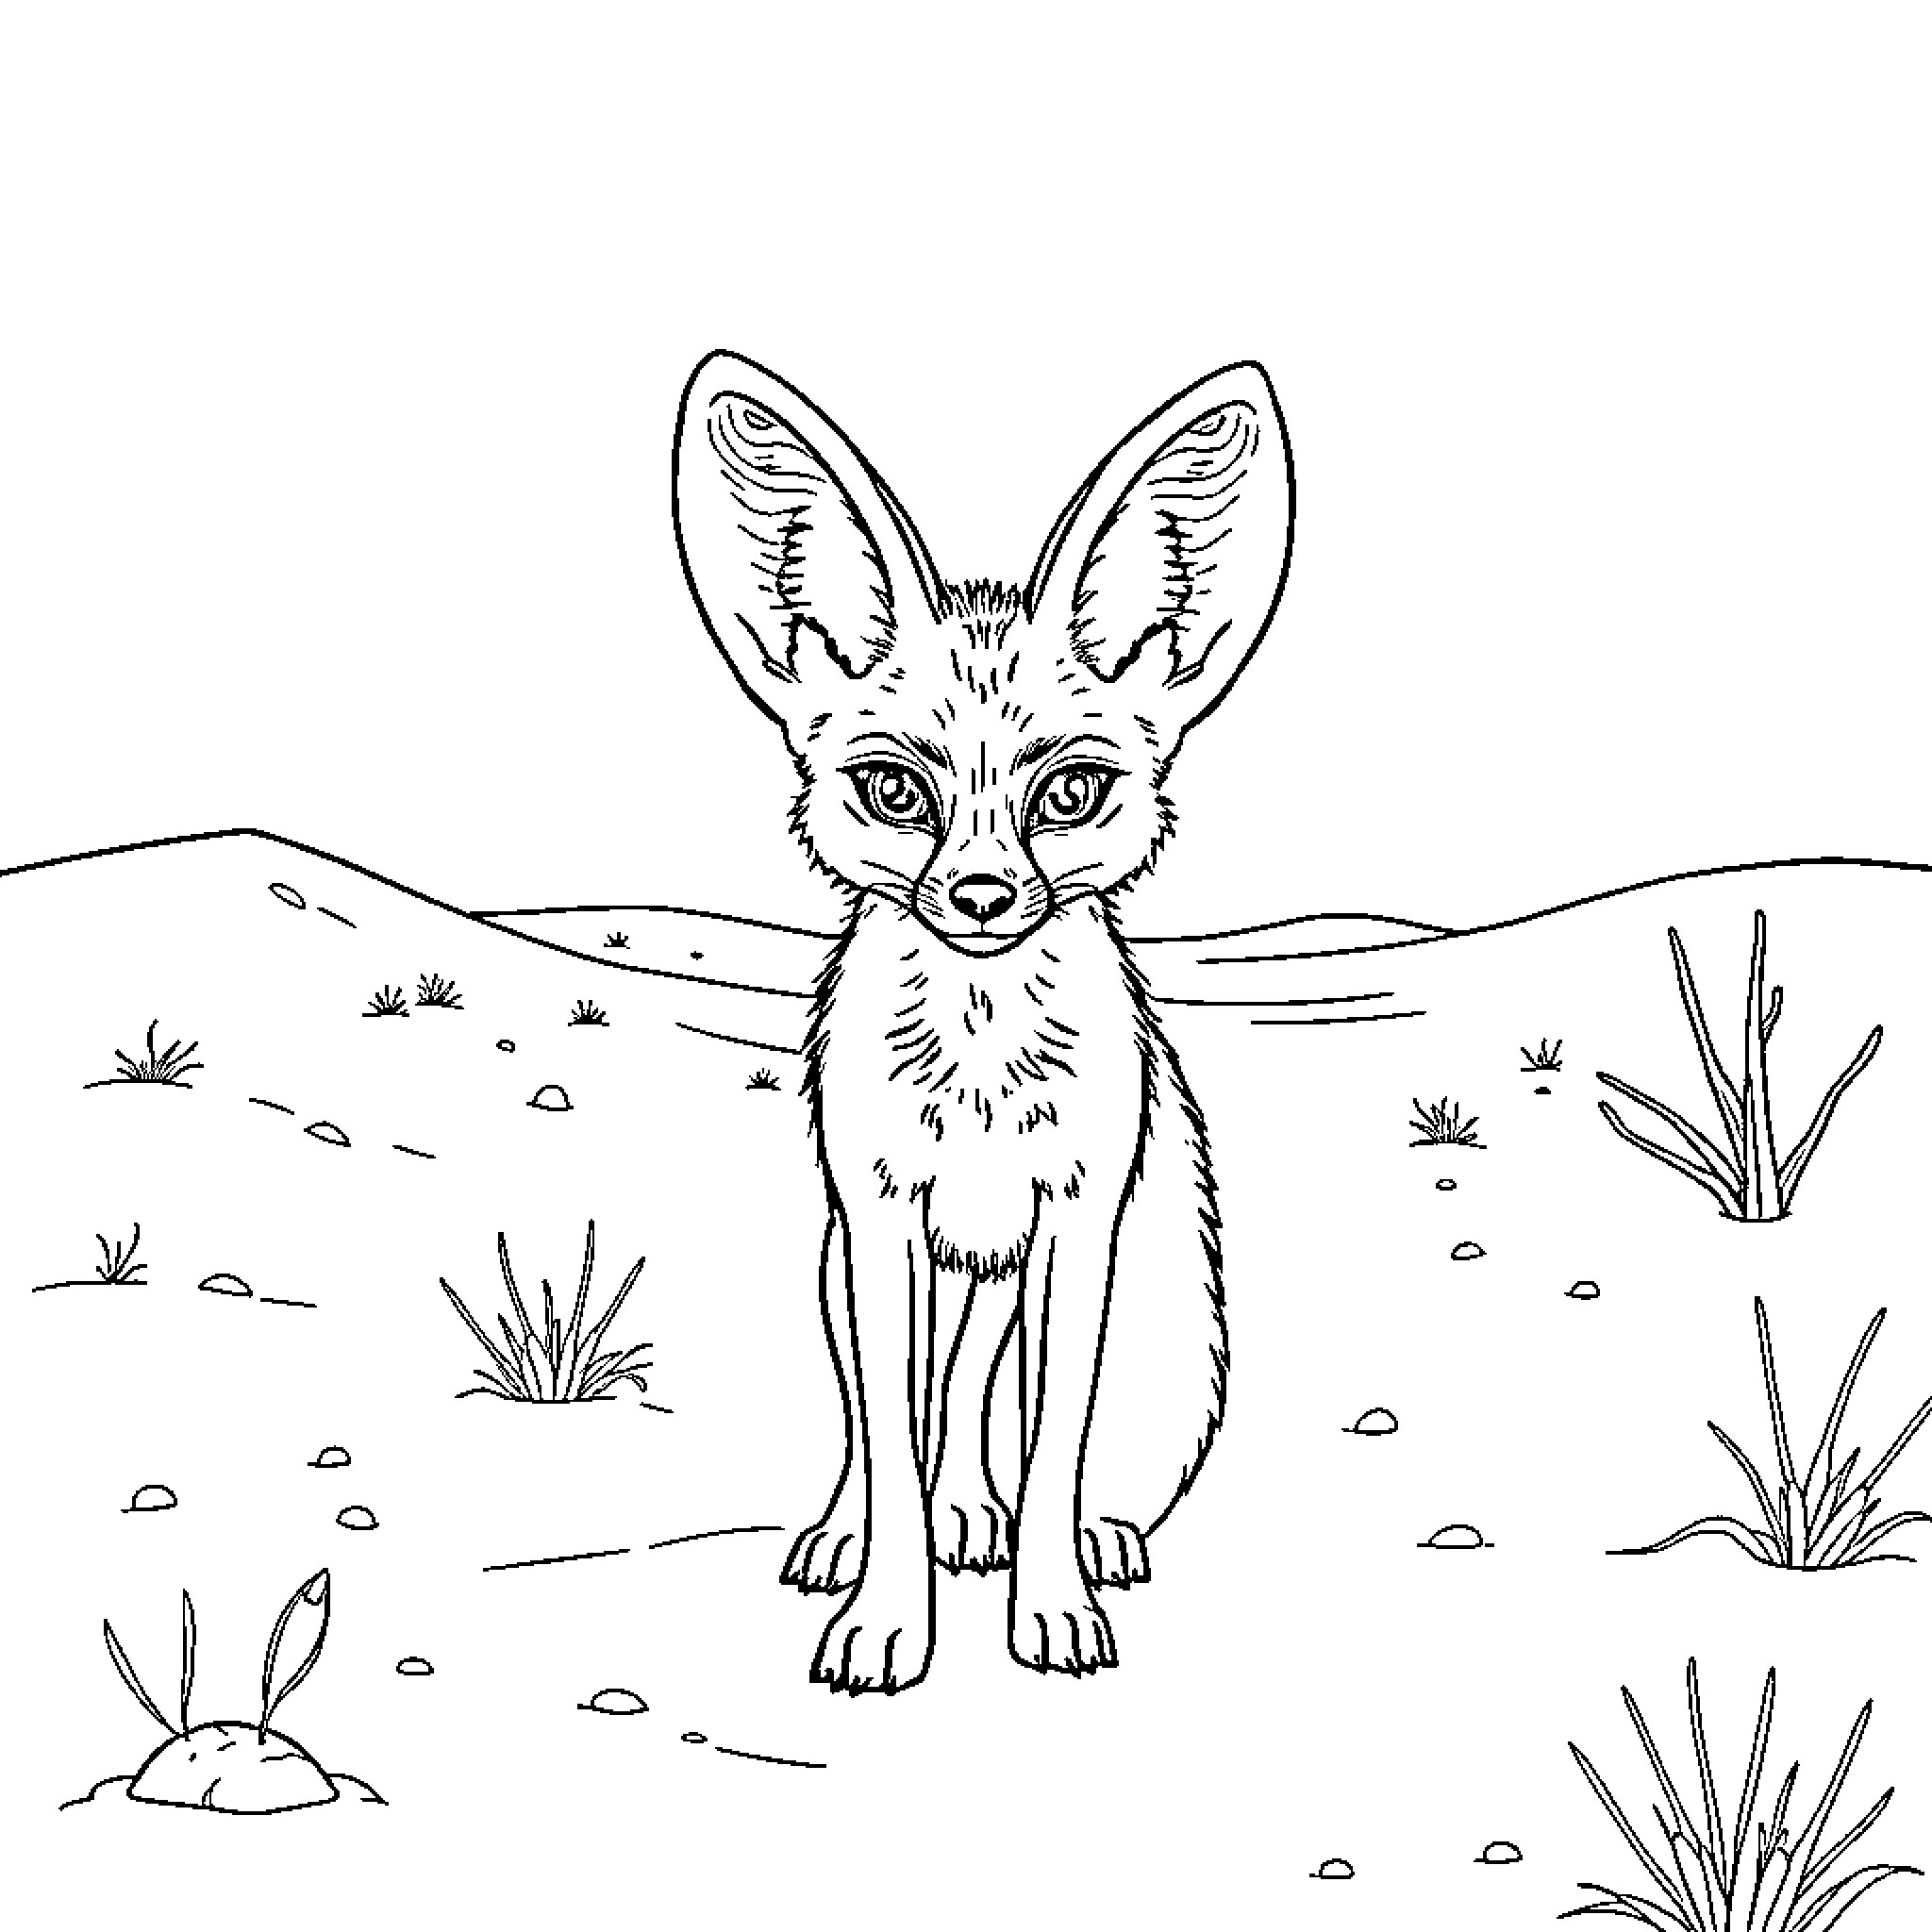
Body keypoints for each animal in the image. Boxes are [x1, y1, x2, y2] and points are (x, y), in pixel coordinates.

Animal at [671, 351, 1294, 1692]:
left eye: (1071, 792)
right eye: (892, 790)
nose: (980, 896)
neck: (977, 1077)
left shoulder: (1073, 1226)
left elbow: (1047, 1439)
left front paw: (1049, 1604)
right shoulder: (881, 1223)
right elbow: (892, 1439)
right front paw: (882, 1618)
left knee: (989, 1418)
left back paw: (1058, 1528)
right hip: (860, 1263)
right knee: (896, 1425)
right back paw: (856, 1531)